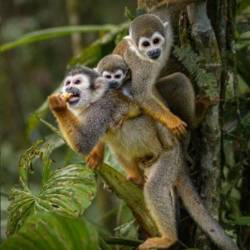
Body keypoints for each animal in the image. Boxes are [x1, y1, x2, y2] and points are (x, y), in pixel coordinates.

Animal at [48, 66, 238, 250]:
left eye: (77, 82)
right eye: (68, 83)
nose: (68, 88)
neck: (91, 102)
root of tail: (179, 156)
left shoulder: (103, 107)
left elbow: (84, 141)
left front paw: (57, 105)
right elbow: (95, 139)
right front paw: (96, 156)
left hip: (169, 158)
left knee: (154, 186)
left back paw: (168, 239)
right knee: (117, 145)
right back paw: (136, 178)